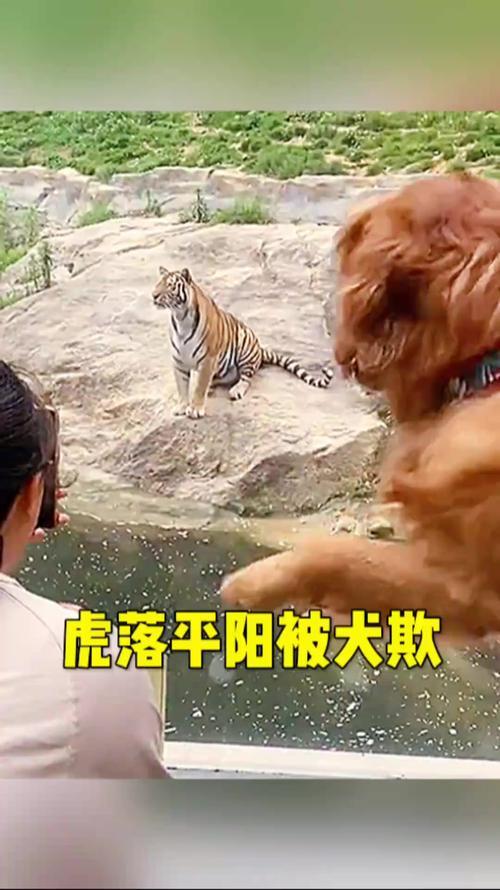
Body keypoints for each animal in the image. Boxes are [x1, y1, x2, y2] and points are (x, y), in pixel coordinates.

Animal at [152, 266, 334, 419]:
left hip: (244, 347)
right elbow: (182, 387)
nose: (153, 295)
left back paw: (236, 390)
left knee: (246, 378)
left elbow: (199, 387)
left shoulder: (208, 359)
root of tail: (260, 349)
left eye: (169, 286)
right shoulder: (178, 360)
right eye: (158, 284)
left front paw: (195, 409)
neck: (180, 317)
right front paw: (182, 407)